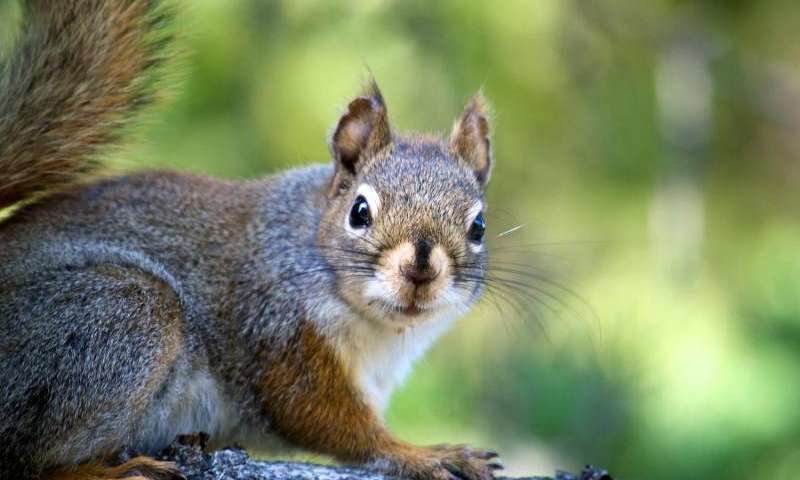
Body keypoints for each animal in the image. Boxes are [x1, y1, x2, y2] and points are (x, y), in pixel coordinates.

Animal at [0, 2, 500, 480]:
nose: (420, 269)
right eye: (359, 212)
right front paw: (423, 453)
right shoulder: (278, 327)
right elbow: (322, 417)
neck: (382, 331)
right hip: (119, 312)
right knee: (27, 459)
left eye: (478, 226)